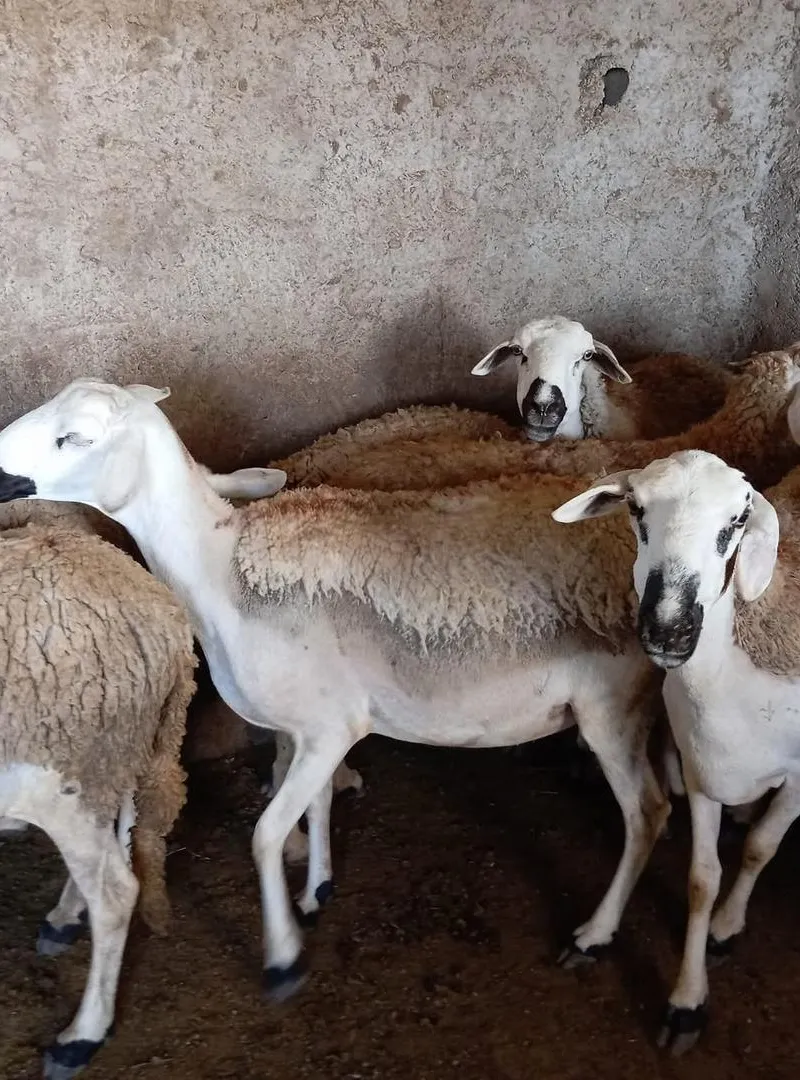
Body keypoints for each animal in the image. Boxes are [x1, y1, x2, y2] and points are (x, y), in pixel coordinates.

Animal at [0, 379, 676, 1003]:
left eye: (76, 437)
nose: (1, 469)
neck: (221, 570)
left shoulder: (329, 729)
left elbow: (266, 834)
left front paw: (282, 958)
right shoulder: (313, 729)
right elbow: (318, 802)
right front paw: (317, 888)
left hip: (612, 707)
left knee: (649, 811)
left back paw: (594, 935)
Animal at [553, 442, 800, 1055]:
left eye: (738, 520)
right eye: (636, 509)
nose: (669, 629)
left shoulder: (799, 777)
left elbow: (760, 847)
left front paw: (728, 926)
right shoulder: (702, 770)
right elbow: (700, 880)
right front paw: (687, 1000)